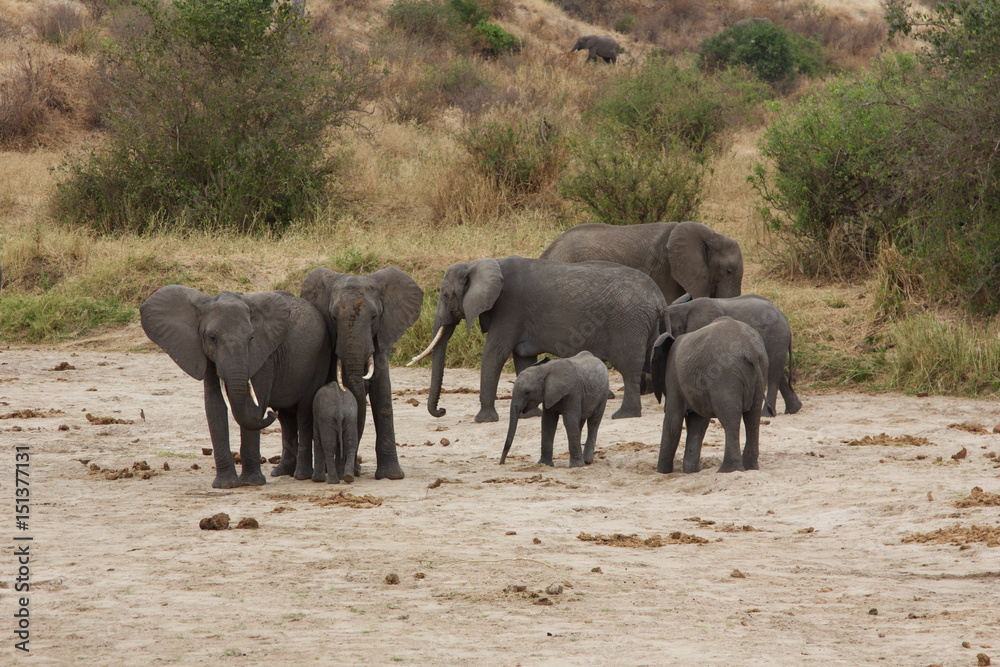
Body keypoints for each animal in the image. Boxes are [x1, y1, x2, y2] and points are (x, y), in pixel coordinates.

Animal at [652, 318, 768, 474]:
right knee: (752, 418)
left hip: (725, 377)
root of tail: (751, 351)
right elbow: (697, 424)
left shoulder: (674, 379)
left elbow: (673, 424)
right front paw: (690, 471)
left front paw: (662, 472)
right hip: (760, 369)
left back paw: (728, 470)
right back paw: (750, 468)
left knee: (730, 418)